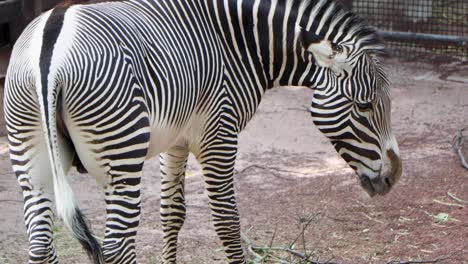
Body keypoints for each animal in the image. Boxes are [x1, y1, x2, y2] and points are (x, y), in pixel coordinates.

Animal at [4, 0, 402, 262]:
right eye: (365, 106)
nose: (394, 176)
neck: (237, 44)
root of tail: (52, 35)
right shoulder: (219, 135)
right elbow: (227, 222)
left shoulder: (176, 140)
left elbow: (172, 213)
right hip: (121, 157)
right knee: (117, 247)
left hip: (30, 155)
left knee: (41, 246)